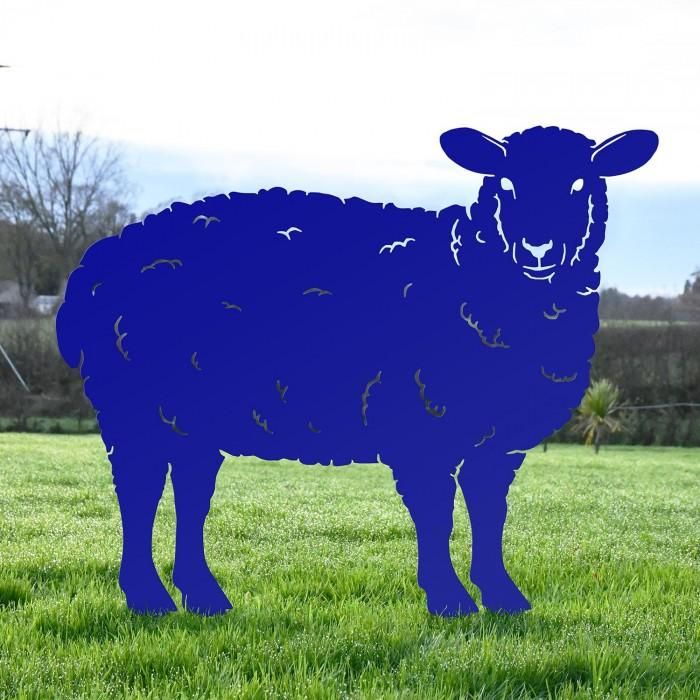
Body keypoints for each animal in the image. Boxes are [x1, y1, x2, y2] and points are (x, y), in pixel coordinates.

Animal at [56, 125, 658, 616]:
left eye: (581, 184)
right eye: (505, 183)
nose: (538, 249)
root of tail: (97, 263)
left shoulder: (498, 441)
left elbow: (491, 514)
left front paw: (504, 598)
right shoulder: (422, 423)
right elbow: (437, 514)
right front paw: (450, 600)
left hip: (186, 415)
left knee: (190, 490)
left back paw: (202, 597)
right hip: (132, 405)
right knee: (139, 492)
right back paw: (148, 598)